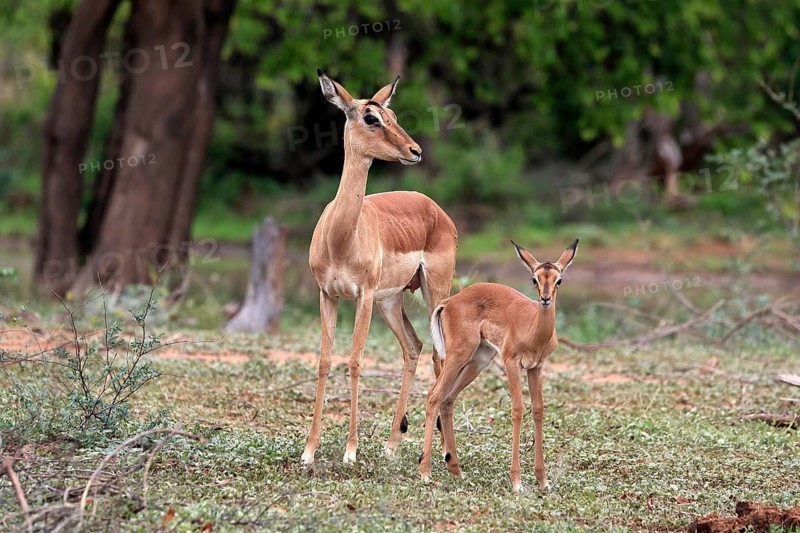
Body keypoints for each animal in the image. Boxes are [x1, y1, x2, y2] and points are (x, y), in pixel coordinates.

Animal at [301, 69, 458, 465]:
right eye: (371, 117)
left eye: (394, 115)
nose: (415, 151)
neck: (341, 238)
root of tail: (435, 208)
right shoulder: (327, 295)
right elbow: (324, 360)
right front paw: (309, 450)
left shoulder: (364, 295)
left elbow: (356, 361)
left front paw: (350, 450)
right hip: (392, 301)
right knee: (413, 347)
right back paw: (392, 443)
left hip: (433, 292)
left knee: (439, 354)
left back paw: (439, 450)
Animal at [420, 239, 578, 492]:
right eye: (534, 279)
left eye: (558, 279)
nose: (545, 299)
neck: (533, 330)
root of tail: (450, 301)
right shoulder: (512, 362)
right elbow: (517, 410)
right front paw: (517, 482)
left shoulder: (536, 367)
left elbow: (538, 410)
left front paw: (543, 480)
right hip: (458, 356)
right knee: (434, 395)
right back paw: (425, 472)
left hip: (478, 361)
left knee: (447, 399)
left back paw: (456, 469)